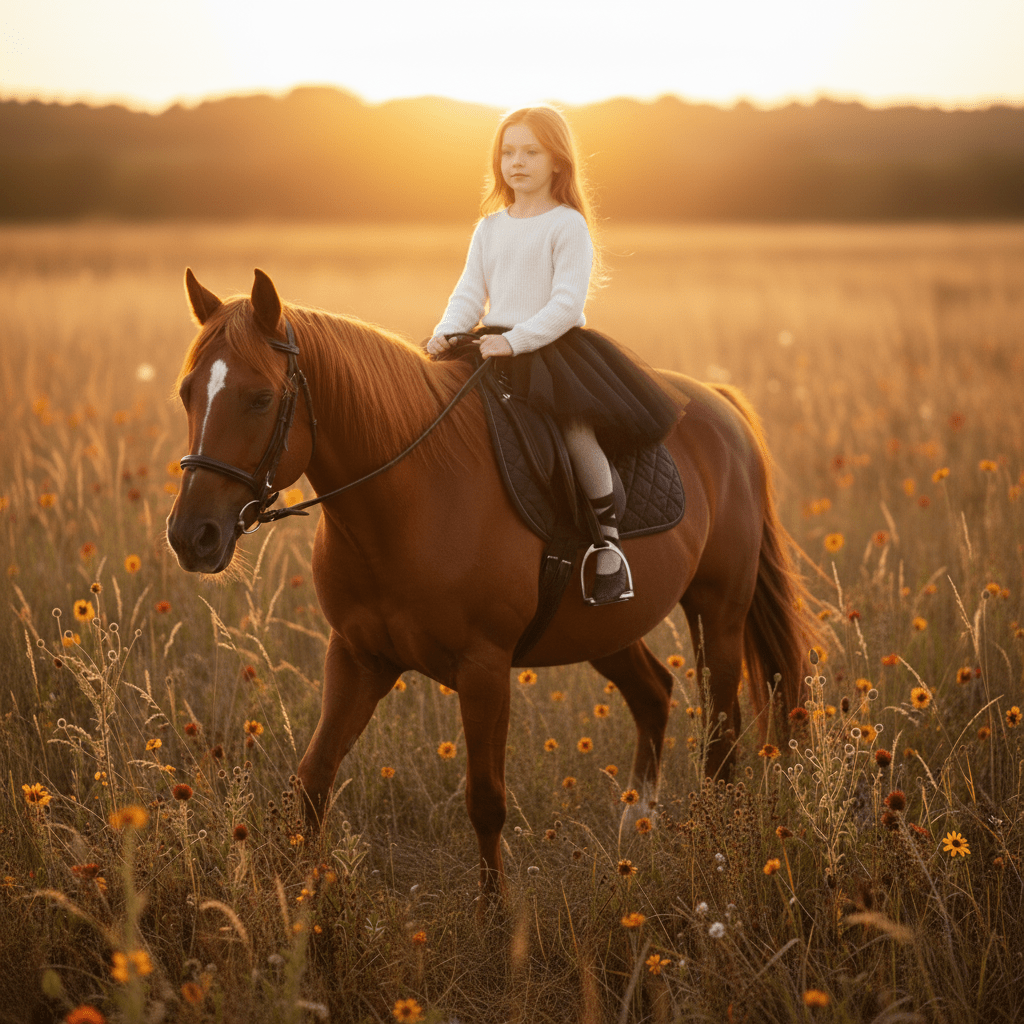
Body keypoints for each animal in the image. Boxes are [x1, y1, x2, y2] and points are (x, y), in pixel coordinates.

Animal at [167, 268, 817, 899]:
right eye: (186, 393)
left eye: (260, 398)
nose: (192, 536)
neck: (410, 499)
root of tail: (723, 408)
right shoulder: (357, 657)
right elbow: (312, 780)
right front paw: (303, 900)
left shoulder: (483, 669)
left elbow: (486, 803)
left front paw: (496, 918)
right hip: (606, 631)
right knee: (655, 695)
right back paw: (638, 828)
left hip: (718, 615)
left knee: (722, 740)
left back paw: (716, 846)